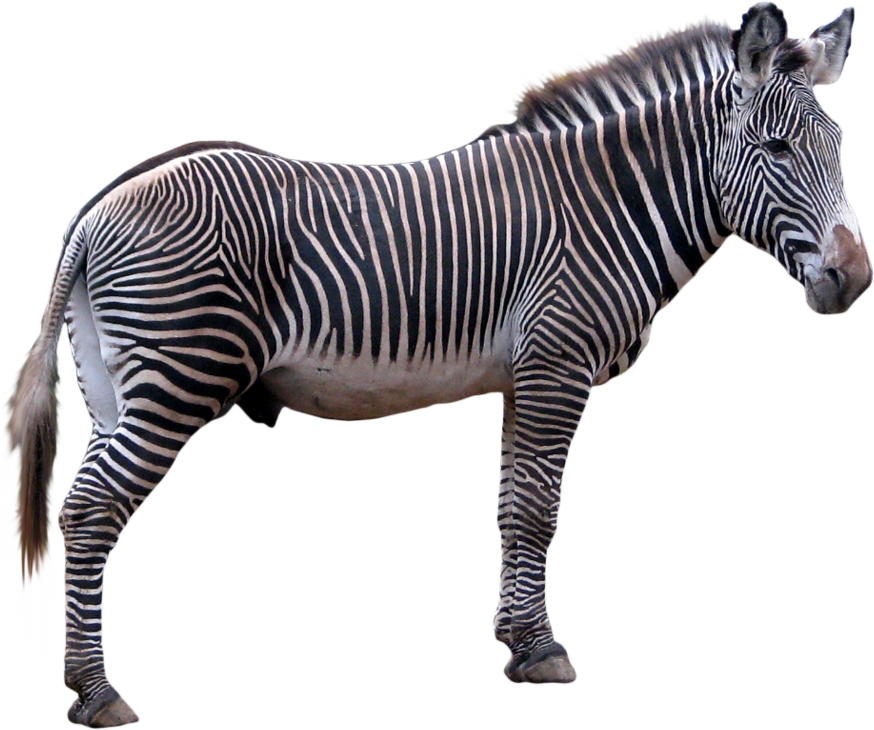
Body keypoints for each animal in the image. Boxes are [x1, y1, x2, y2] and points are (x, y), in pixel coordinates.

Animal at [2, 1, 870, 723]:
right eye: (777, 148)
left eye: (840, 148)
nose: (855, 280)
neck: (610, 205)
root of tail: (97, 208)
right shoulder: (559, 364)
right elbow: (541, 511)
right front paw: (545, 653)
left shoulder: (526, 373)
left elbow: (511, 509)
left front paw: (518, 643)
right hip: (178, 376)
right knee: (93, 508)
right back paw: (98, 693)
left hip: (115, 386)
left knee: (86, 505)